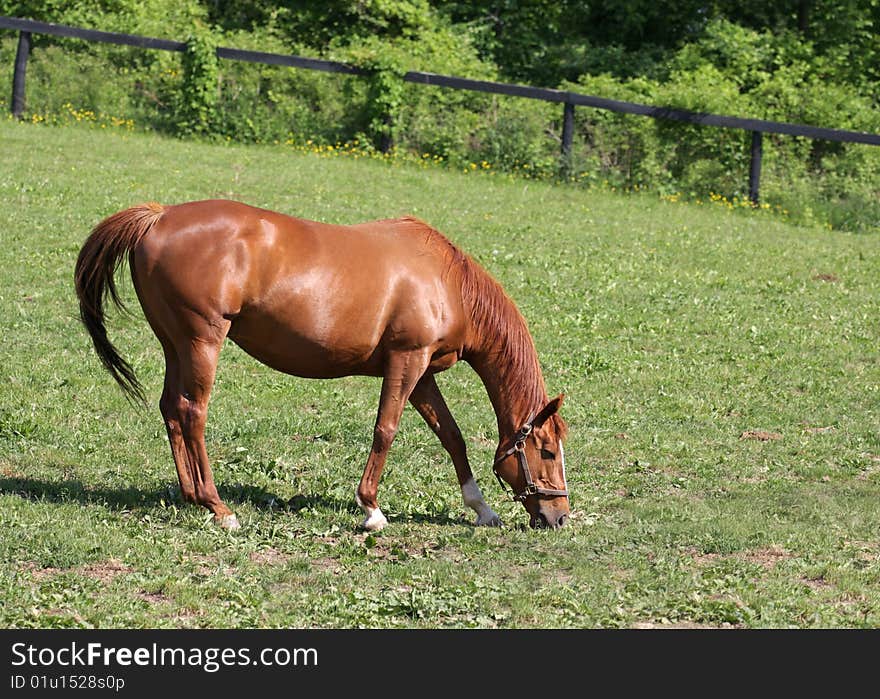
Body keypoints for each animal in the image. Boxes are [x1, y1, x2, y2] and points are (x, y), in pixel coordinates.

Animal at [74, 201, 572, 532]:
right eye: (547, 452)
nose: (560, 516)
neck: (446, 281)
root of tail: (159, 216)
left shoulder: (423, 373)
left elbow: (451, 436)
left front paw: (482, 508)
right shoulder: (406, 360)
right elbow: (385, 430)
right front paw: (371, 510)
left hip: (175, 345)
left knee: (171, 411)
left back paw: (191, 497)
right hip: (202, 342)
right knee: (192, 413)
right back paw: (218, 507)